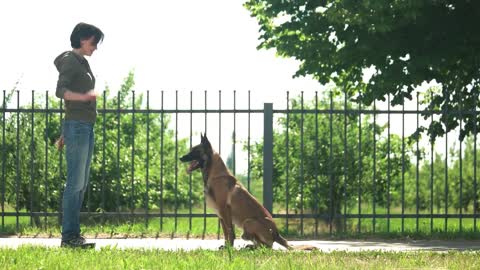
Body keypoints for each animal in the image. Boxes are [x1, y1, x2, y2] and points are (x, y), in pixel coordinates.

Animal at [180, 134, 316, 250]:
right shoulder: (221, 215)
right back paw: (250, 246)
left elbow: (230, 232)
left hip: (249, 222)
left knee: (267, 246)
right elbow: (225, 233)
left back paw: (251, 246)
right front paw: (226, 246)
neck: (215, 175)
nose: (181, 158)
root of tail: (277, 234)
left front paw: (230, 249)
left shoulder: (225, 211)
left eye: (195, 151)